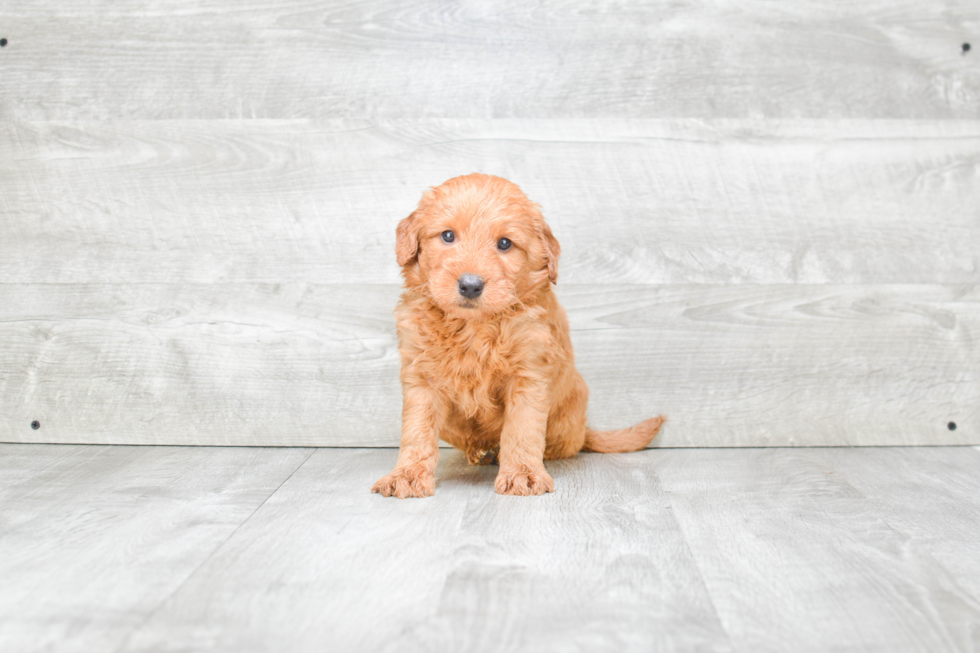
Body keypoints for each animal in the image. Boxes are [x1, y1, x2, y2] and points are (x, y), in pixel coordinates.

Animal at [372, 173, 664, 500]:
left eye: (504, 243)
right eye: (447, 236)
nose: (470, 285)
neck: (474, 327)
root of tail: (583, 429)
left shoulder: (529, 373)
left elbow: (522, 428)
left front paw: (523, 474)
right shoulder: (421, 376)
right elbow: (417, 430)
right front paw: (407, 475)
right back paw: (482, 451)